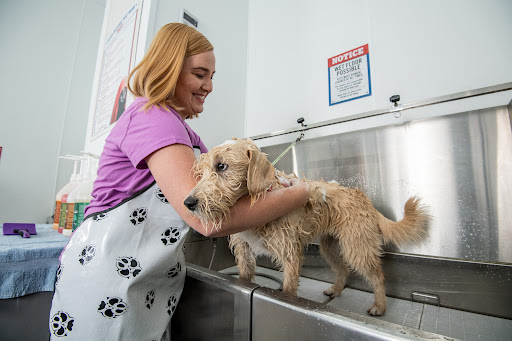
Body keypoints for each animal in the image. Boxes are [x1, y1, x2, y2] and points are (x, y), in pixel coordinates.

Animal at [182, 137, 430, 314]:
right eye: (201, 172)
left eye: (221, 166)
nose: (188, 203)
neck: (257, 200)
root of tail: (362, 196)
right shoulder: (244, 251)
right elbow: (244, 276)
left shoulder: (290, 254)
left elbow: (289, 288)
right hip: (329, 247)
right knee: (343, 270)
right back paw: (335, 289)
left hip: (356, 247)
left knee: (378, 275)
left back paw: (379, 306)